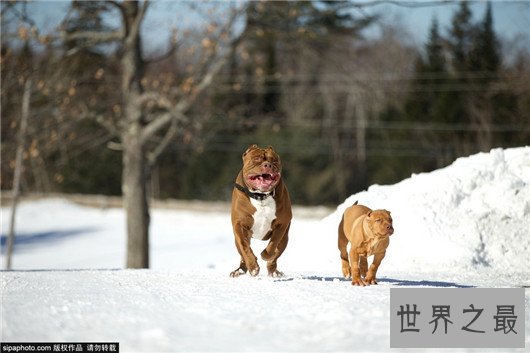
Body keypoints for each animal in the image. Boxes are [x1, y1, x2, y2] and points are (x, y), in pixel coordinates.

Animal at [229, 144, 290, 276]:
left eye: (274, 160)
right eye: (256, 159)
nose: (268, 165)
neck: (261, 196)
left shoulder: (282, 224)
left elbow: (273, 244)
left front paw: (265, 255)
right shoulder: (239, 225)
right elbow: (244, 246)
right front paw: (253, 266)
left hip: (285, 238)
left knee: (276, 254)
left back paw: (274, 271)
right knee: (242, 252)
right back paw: (240, 270)